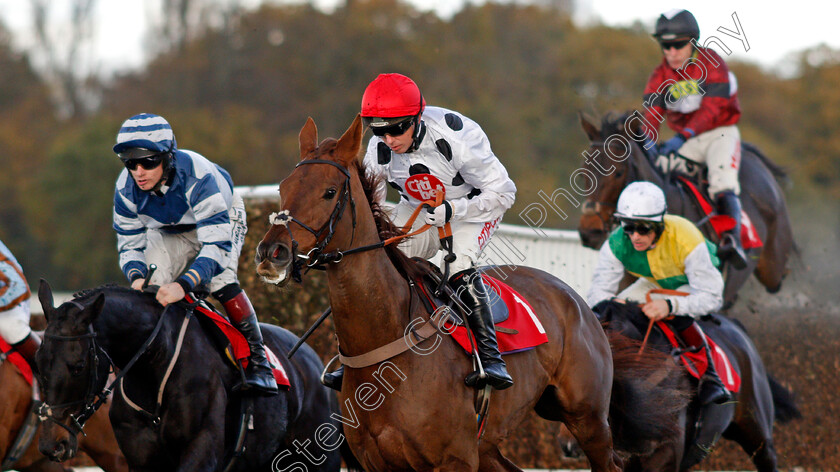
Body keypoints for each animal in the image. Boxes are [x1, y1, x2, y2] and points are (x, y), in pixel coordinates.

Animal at [256, 114, 688, 472]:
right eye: (283, 187)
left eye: (329, 192)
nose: (270, 253)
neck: (385, 340)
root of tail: (580, 302)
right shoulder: (379, 462)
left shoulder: (454, 459)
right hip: (492, 446)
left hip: (587, 419)